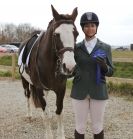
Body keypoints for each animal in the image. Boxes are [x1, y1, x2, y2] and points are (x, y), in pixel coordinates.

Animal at [17, 4, 78, 138]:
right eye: (56, 34)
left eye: (76, 34)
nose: (69, 67)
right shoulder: (39, 88)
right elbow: (46, 113)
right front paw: (49, 134)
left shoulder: (61, 88)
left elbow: (59, 111)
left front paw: (60, 135)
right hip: (25, 82)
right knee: (28, 96)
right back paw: (29, 115)